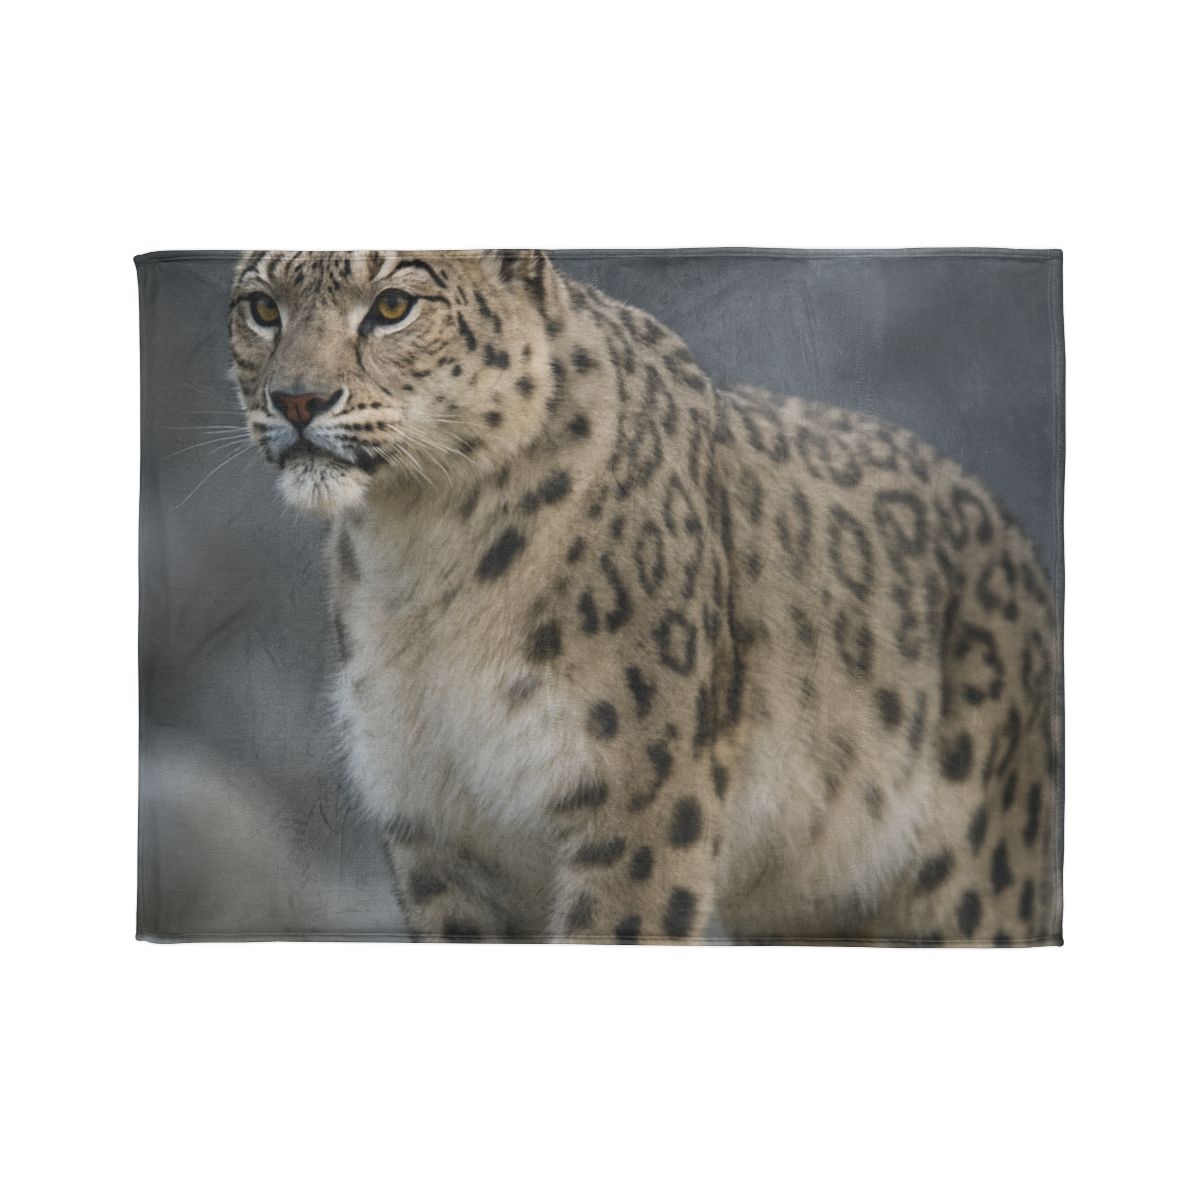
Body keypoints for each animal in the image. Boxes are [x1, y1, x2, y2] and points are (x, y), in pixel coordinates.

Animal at [227, 249, 1062, 945]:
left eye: (394, 304)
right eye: (263, 307)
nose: (296, 400)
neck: (422, 553)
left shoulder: (638, 799)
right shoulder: (435, 822)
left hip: (974, 889)